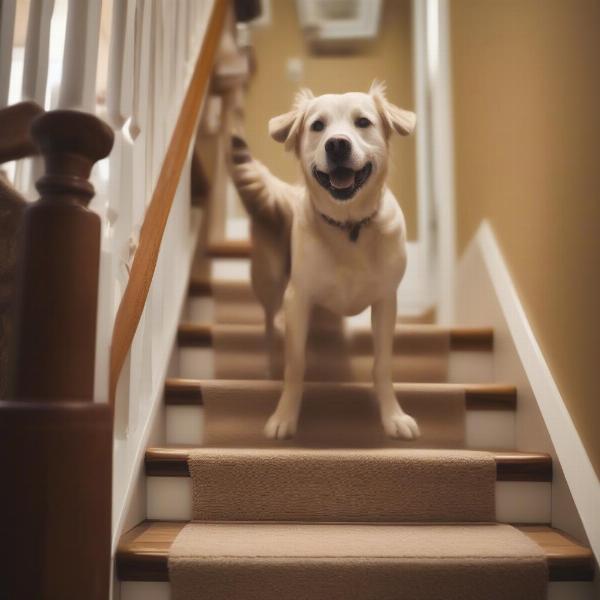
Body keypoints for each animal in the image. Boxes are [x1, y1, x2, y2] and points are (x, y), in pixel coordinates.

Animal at [227, 82, 420, 440]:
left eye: (363, 122)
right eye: (317, 126)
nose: (337, 144)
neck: (349, 227)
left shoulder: (386, 301)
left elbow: (382, 364)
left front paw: (392, 416)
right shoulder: (297, 299)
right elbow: (295, 363)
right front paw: (284, 416)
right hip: (269, 283)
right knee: (268, 326)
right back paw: (268, 365)